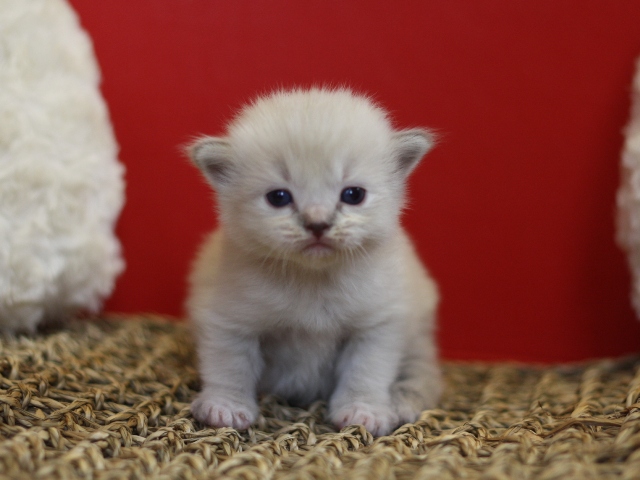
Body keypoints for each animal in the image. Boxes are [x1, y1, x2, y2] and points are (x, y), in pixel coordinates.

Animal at [188, 88, 442, 436]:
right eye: (279, 197)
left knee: (424, 374)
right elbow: (229, 366)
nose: (318, 223)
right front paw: (225, 407)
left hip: (418, 337)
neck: (313, 279)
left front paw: (363, 411)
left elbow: (366, 373)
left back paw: (402, 401)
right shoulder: (228, 318)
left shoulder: (378, 325)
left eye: (353, 194)